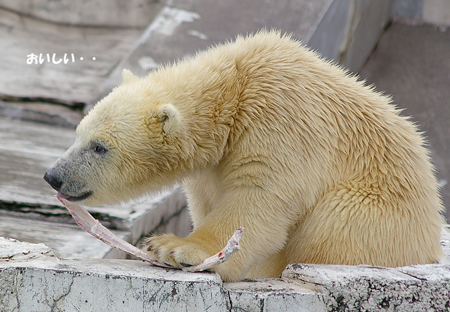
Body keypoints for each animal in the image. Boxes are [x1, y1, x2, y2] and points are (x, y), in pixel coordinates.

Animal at [44, 31, 444, 282]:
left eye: (99, 146)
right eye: (78, 133)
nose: (53, 175)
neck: (235, 86)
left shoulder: (281, 120)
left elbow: (260, 198)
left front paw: (174, 247)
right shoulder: (213, 161)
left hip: (376, 213)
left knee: (333, 225)